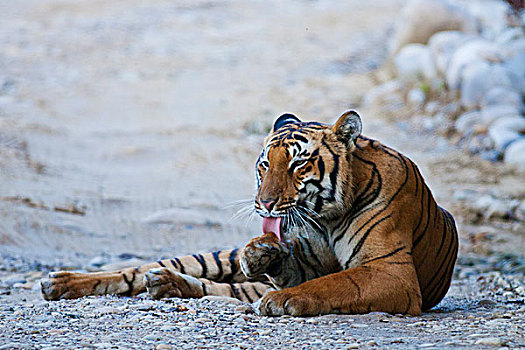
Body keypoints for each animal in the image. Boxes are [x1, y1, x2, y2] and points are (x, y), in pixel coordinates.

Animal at [41, 111, 456, 318]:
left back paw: (168, 285)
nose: (265, 204)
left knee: (217, 290)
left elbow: (337, 282)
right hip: (212, 256)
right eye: (264, 164)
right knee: (139, 271)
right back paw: (60, 282)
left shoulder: (391, 272)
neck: (324, 218)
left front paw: (281, 298)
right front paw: (262, 253)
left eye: (299, 164)